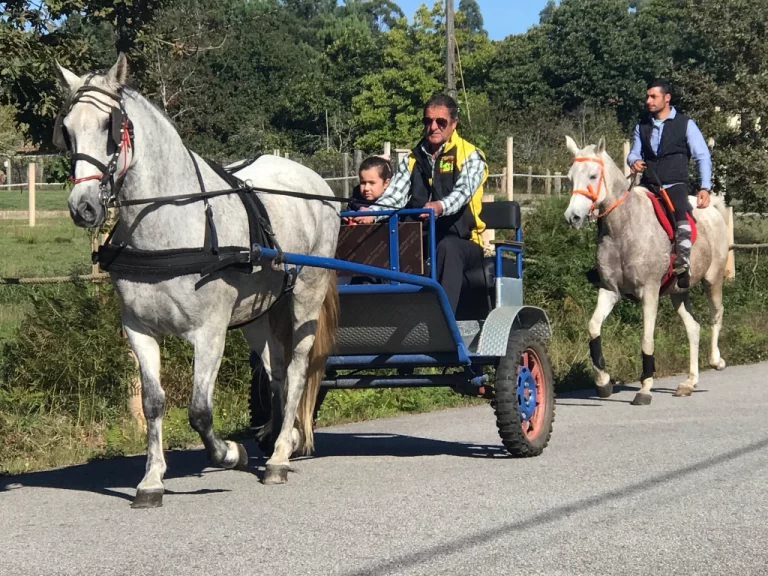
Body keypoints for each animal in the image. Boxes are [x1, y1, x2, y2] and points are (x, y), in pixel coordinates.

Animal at [54, 51, 340, 506]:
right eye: (66, 130)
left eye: (109, 127)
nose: (82, 207)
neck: (169, 226)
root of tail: (315, 182)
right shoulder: (138, 329)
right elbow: (153, 403)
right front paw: (151, 481)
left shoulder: (210, 332)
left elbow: (199, 410)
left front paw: (231, 453)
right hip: (257, 314)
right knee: (275, 369)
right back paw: (286, 437)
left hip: (307, 296)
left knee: (296, 368)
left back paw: (278, 457)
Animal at [560, 135, 728, 404]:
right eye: (570, 177)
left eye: (593, 176)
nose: (573, 217)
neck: (623, 227)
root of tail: (711, 208)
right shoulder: (609, 291)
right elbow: (593, 327)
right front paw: (603, 381)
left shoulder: (649, 294)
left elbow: (647, 339)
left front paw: (645, 388)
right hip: (678, 292)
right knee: (693, 328)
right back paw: (689, 383)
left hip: (712, 280)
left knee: (716, 315)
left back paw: (716, 361)